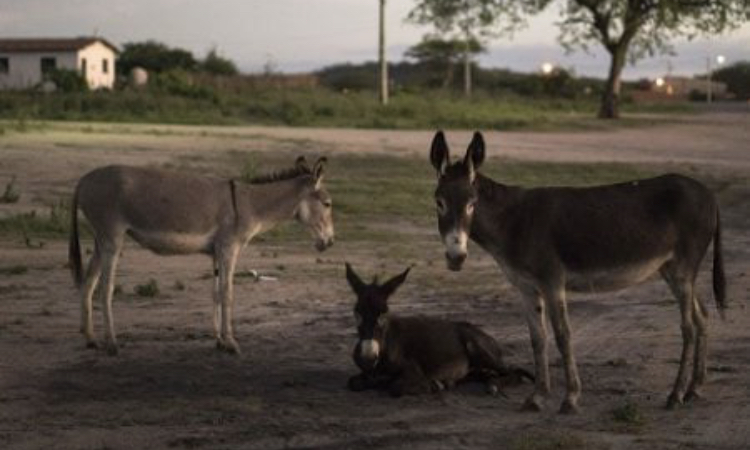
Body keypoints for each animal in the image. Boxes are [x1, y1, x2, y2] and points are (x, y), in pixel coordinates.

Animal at [346, 264, 536, 398]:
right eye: (357, 311)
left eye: (384, 312)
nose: (368, 357)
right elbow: (353, 382)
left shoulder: (414, 371)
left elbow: (396, 387)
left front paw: (431, 386)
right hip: (475, 366)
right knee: (487, 374)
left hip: (478, 349)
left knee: (515, 372)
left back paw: (493, 385)